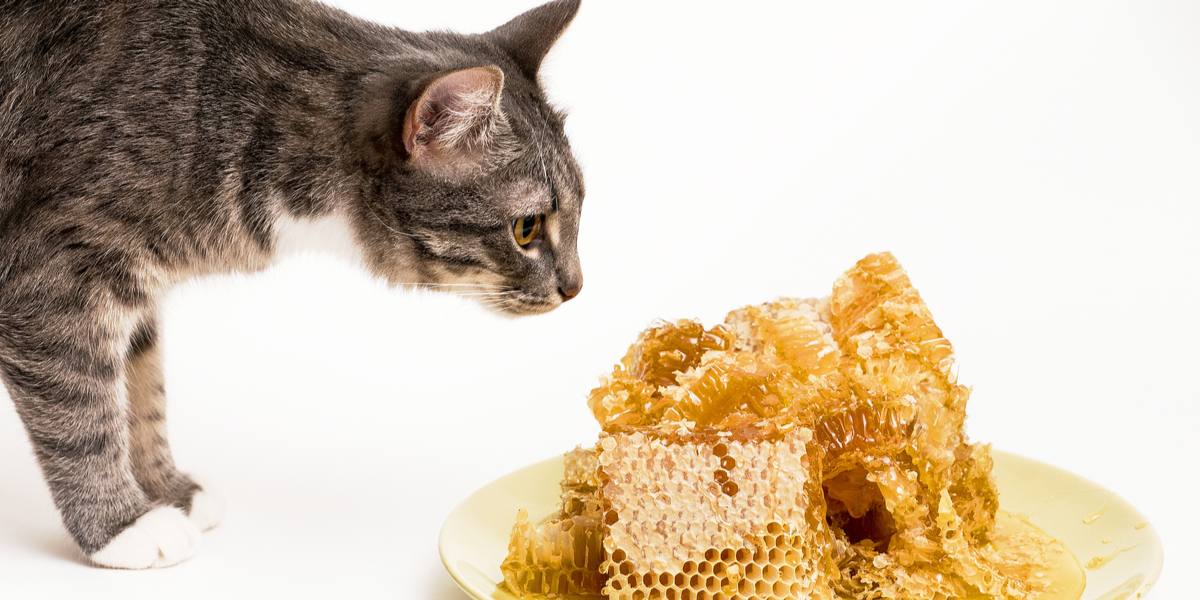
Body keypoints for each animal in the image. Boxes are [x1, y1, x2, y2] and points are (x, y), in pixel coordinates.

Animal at [0, 0, 583, 568]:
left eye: (580, 206)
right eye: (526, 228)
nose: (575, 288)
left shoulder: (137, 288)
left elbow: (144, 390)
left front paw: (169, 490)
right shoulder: (50, 272)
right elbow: (82, 408)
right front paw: (122, 526)